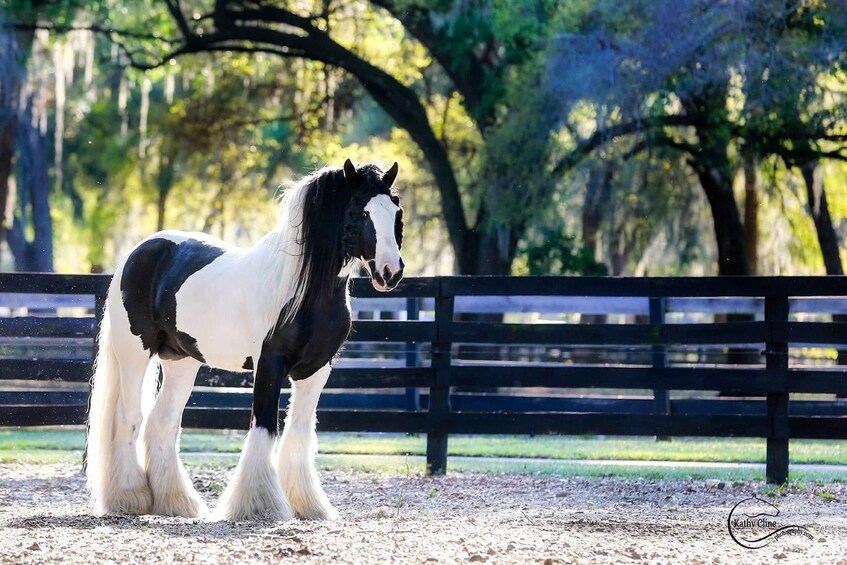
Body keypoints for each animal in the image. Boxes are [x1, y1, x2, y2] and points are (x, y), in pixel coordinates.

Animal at [86, 159, 404, 521]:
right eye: (361, 213)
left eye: (396, 211)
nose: (390, 272)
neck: (305, 291)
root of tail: (138, 252)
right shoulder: (269, 365)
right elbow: (264, 428)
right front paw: (259, 505)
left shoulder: (316, 370)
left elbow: (298, 432)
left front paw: (308, 504)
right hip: (134, 353)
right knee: (130, 418)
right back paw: (128, 498)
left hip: (181, 361)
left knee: (162, 423)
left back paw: (177, 503)